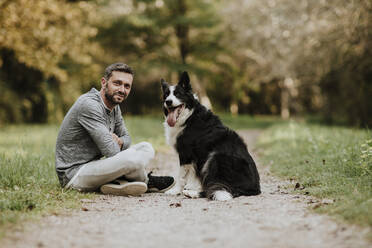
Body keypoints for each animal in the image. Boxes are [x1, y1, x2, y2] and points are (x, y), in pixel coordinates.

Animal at [161, 70, 260, 201]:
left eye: (178, 94)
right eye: (166, 95)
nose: (168, 102)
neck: (189, 116)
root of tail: (255, 187)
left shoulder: (185, 153)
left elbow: (181, 175)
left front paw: (176, 190)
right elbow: (193, 175)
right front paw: (190, 187)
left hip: (215, 156)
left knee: (219, 188)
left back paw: (193, 194)